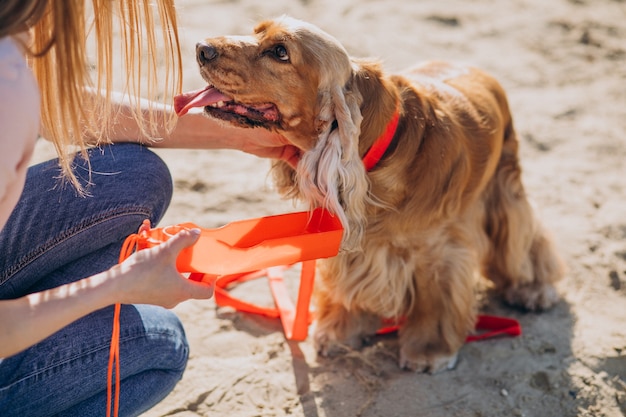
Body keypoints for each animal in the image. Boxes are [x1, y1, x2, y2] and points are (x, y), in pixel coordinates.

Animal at [173, 16, 564, 372]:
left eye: (280, 52)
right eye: (255, 31)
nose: (201, 48)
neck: (378, 152)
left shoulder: (440, 249)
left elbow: (435, 297)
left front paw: (429, 350)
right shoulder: (355, 245)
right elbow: (347, 289)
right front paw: (340, 332)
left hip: (505, 189)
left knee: (524, 243)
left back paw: (532, 289)